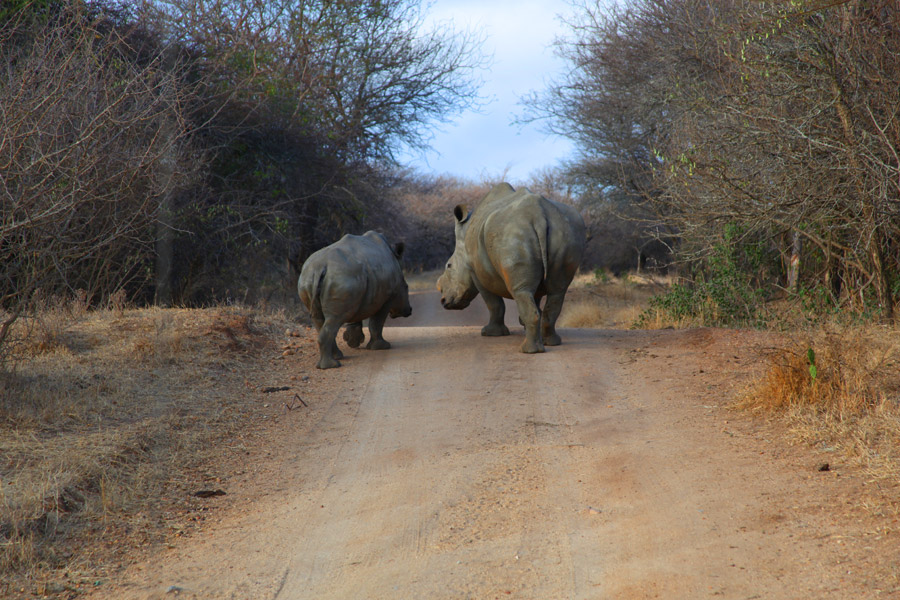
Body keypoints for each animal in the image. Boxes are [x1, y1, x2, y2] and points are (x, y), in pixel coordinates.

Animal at [298, 232, 412, 368]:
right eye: (406, 287)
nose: (409, 310)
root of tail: (319, 267)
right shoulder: (387, 299)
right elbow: (377, 322)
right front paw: (381, 347)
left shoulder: (359, 295)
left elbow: (357, 317)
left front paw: (353, 341)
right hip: (343, 277)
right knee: (334, 319)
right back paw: (332, 365)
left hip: (312, 278)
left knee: (321, 319)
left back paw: (336, 358)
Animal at [438, 180, 592, 354]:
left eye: (449, 266)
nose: (443, 301)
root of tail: (538, 213)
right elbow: (535, 297)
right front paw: (523, 326)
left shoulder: (476, 272)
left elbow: (494, 304)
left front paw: (490, 333)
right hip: (567, 231)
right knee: (556, 291)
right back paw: (552, 343)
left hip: (510, 234)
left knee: (521, 291)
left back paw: (529, 351)